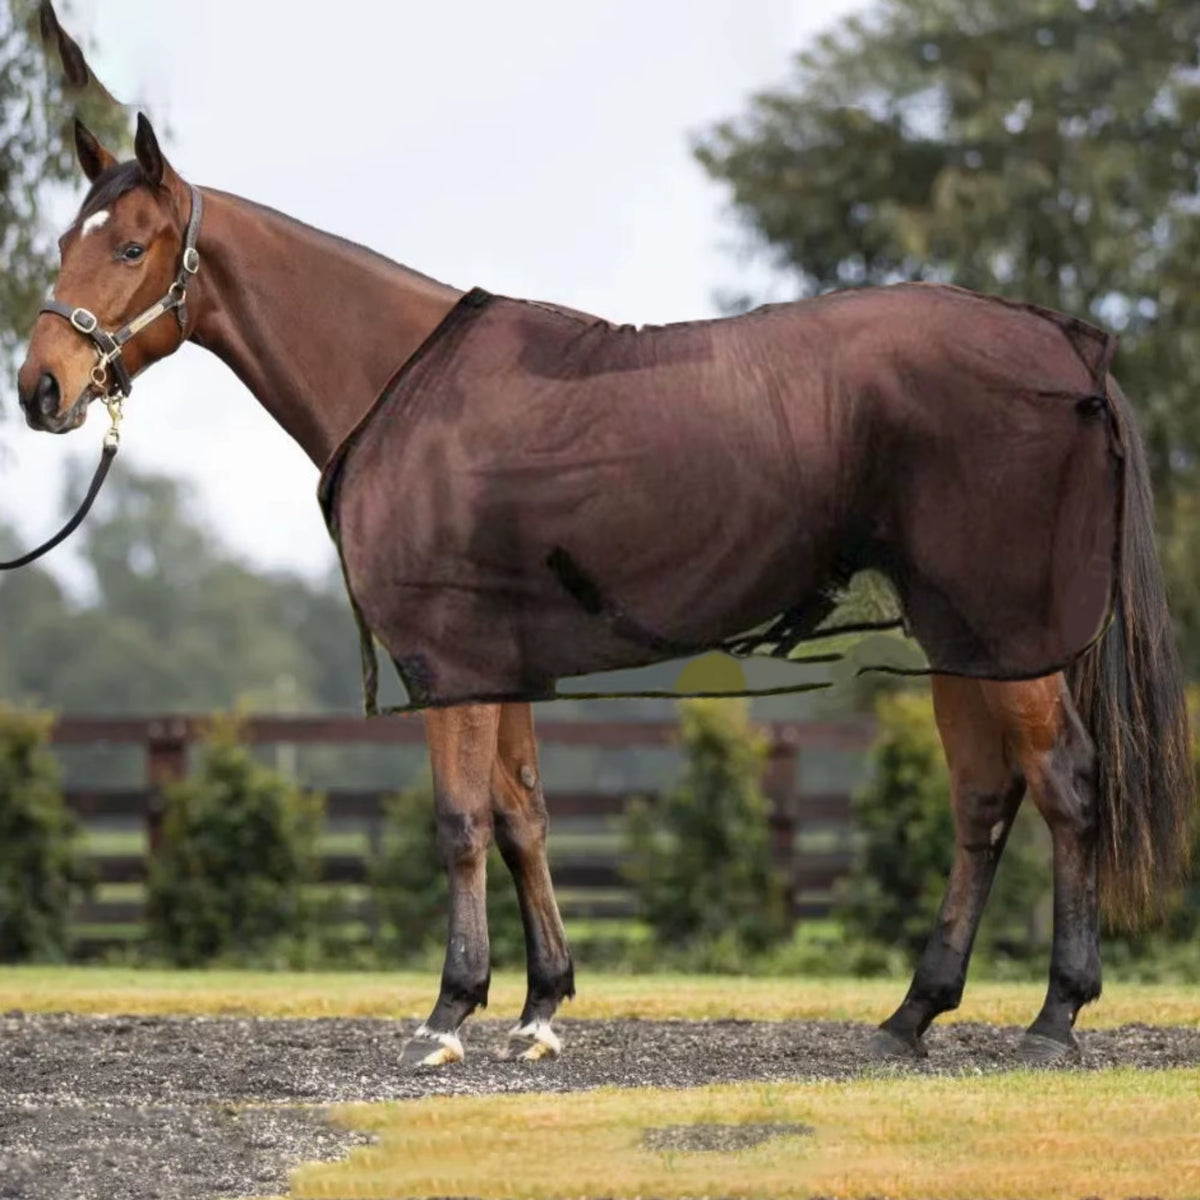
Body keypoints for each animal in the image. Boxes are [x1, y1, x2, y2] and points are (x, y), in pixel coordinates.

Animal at [16, 103, 1193, 1069]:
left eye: (130, 245)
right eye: (65, 240)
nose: (41, 388)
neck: (401, 384)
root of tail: (1070, 346)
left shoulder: (451, 659)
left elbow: (460, 821)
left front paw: (450, 1011)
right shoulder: (504, 664)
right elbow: (524, 815)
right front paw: (541, 1007)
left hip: (1010, 631)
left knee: (1065, 785)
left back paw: (1053, 1017)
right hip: (964, 637)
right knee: (985, 799)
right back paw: (913, 1012)